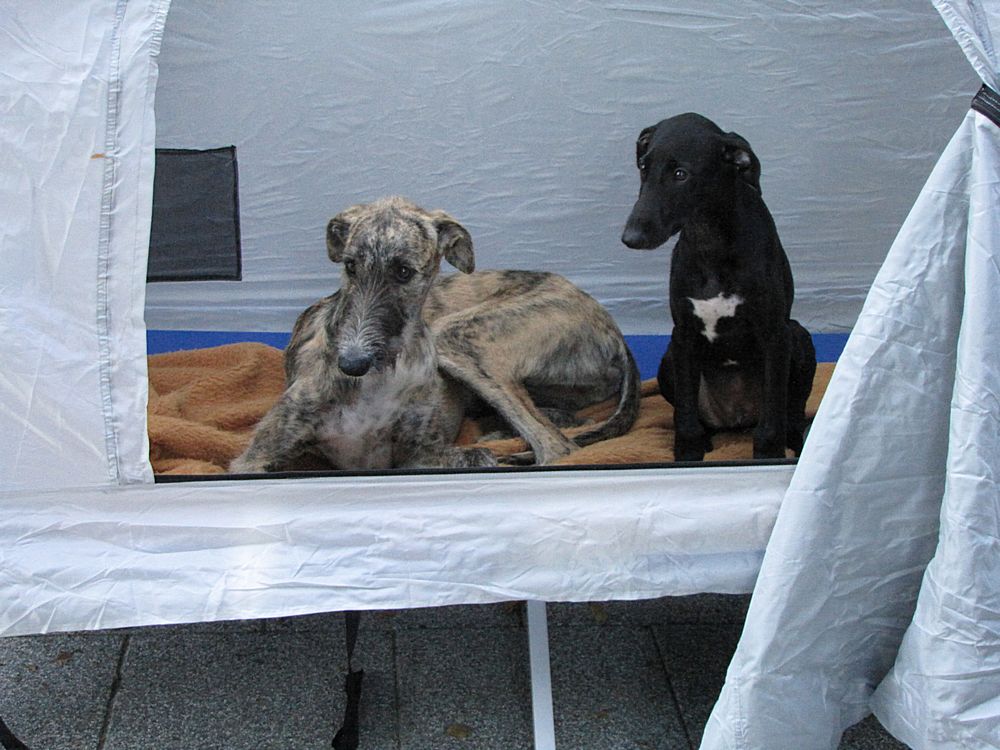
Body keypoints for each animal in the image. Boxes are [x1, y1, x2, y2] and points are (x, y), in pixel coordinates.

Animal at [230, 196, 640, 472]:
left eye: (404, 272)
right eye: (349, 266)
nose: (351, 363)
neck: (379, 381)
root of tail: (613, 328)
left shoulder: (417, 453)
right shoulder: (253, 461)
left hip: (454, 338)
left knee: (557, 448)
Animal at [621, 113, 816, 461]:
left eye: (681, 174)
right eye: (643, 166)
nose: (630, 238)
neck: (708, 239)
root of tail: (736, 418)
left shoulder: (774, 335)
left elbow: (773, 419)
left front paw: (768, 454)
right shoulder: (683, 335)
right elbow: (685, 416)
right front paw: (687, 454)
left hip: (798, 336)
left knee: (791, 412)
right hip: (669, 359)